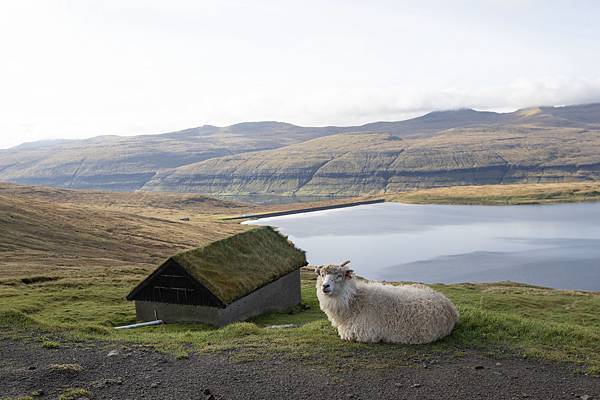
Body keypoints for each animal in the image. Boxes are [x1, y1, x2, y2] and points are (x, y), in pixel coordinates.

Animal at [316, 262, 458, 344]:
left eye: (339, 276)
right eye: (322, 275)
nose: (325, 286)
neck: (355, 301)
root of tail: (450, 306)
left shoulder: (362, 333)